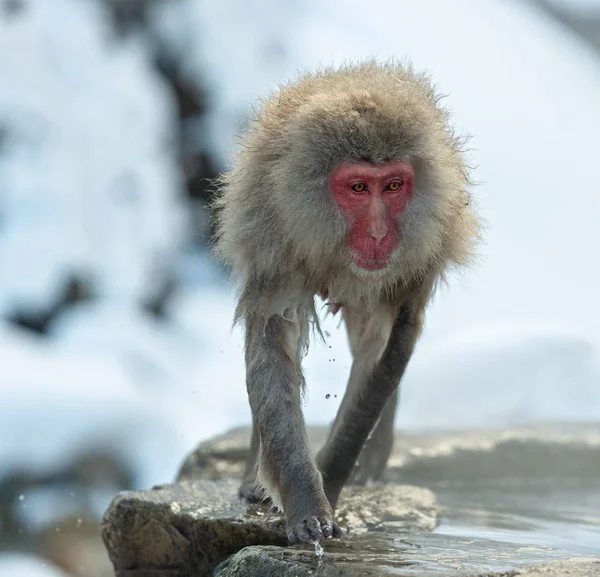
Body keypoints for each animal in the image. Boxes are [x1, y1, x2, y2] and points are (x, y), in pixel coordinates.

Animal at [213, 60, 480, 544]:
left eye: (392, 186)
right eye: (358, 188)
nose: (378, 234)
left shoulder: (416, 260)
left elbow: (386, 351)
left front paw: (333, 476)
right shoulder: (274, 237)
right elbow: (273, 345)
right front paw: (305, 499)